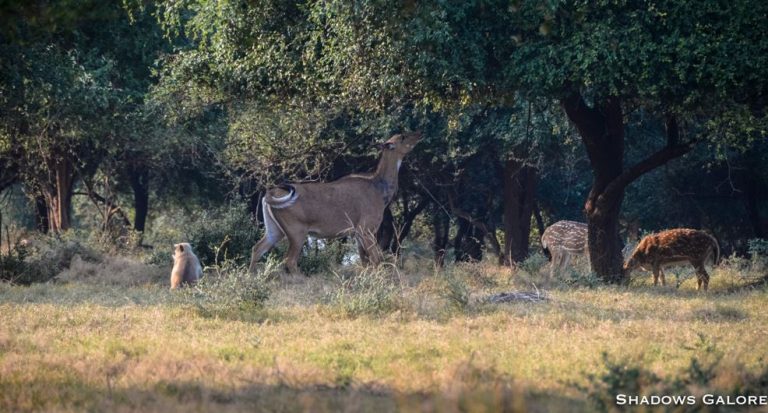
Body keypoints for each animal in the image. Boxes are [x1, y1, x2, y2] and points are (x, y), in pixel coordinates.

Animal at [250, 132, 420, 274]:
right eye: (403, 137)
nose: (418, 134)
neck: (378, 186)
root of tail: (270, 194)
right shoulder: (366, 230)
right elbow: (376, 260)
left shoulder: (358, 234)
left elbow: (365, 262)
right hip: (297, 233)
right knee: (289, 260)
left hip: (275, 231)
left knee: (257, 249)